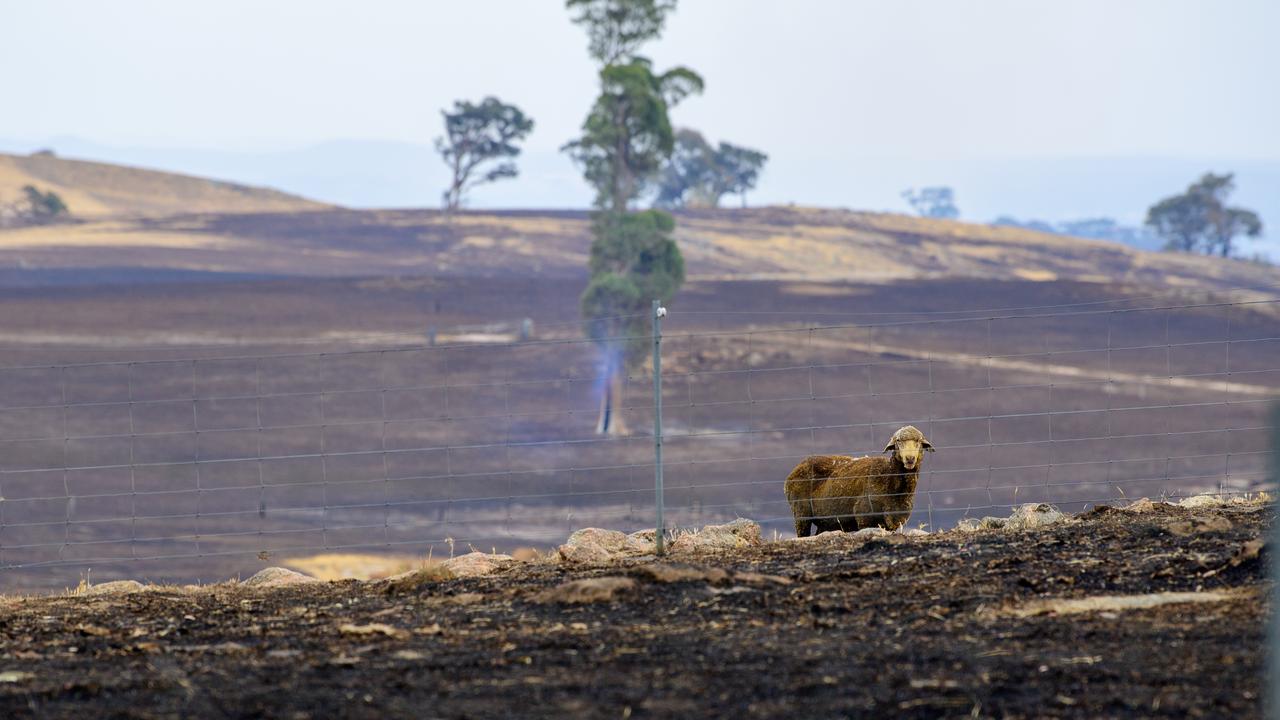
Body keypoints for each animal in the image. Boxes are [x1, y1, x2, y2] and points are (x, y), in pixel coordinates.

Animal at [784, 425, 934, 537]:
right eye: (898, 441)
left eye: (919, 441)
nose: (910, 459)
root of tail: (795, 469)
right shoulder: (864, 517)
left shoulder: (894, 522)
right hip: (801, 513)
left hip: (826, 520)